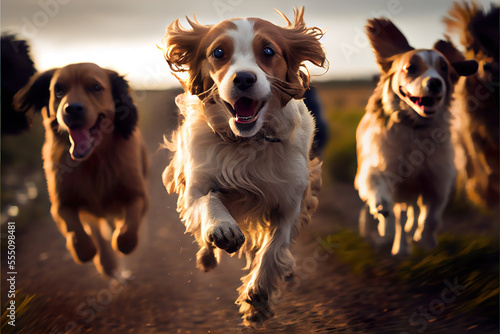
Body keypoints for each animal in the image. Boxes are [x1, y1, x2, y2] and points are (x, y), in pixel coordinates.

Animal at [12, 63, 147, 276]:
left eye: (96, 87)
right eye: (58, 90)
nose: (72, 109)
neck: (93, 161)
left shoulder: (138, 195)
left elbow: (128, 230)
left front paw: (121, 241)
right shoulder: (61, 204)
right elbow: (77, 232)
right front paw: (85, 252)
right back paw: (106, 262)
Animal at [160, 7, 324, 326]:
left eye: (269, 51)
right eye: (219, 52)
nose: (244, 79)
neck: (246, 143)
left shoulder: (289, 200)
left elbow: (274, 248)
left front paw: (257, 298)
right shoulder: (197, 184)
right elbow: (208, 201)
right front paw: (222, 227)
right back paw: (207, 255)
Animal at [356, 18, 476, 256]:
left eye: (444, 69)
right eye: (410, 68)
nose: (435, 82)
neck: (416, 128)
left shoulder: (438, 180)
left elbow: (432, 216)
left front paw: (426, 239)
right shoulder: (380, 167)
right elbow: (377, 184)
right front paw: (383, 211)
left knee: (413, 213)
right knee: (399, 216)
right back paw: (397, 243)